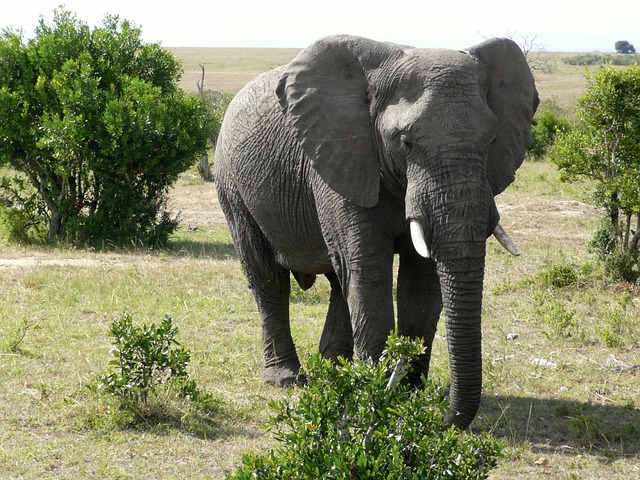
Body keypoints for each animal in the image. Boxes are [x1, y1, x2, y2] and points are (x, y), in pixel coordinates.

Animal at [214, 35, 536, 430]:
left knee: (339, 280)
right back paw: (287, 378)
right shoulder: (338, 155)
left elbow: (421, 281)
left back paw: (333, 373)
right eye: (405, 142)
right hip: (232, 185)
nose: (443, 419)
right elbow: (369, 269)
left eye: (491, 140)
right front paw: (378, 397)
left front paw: (407, 397)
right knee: (268, 277)